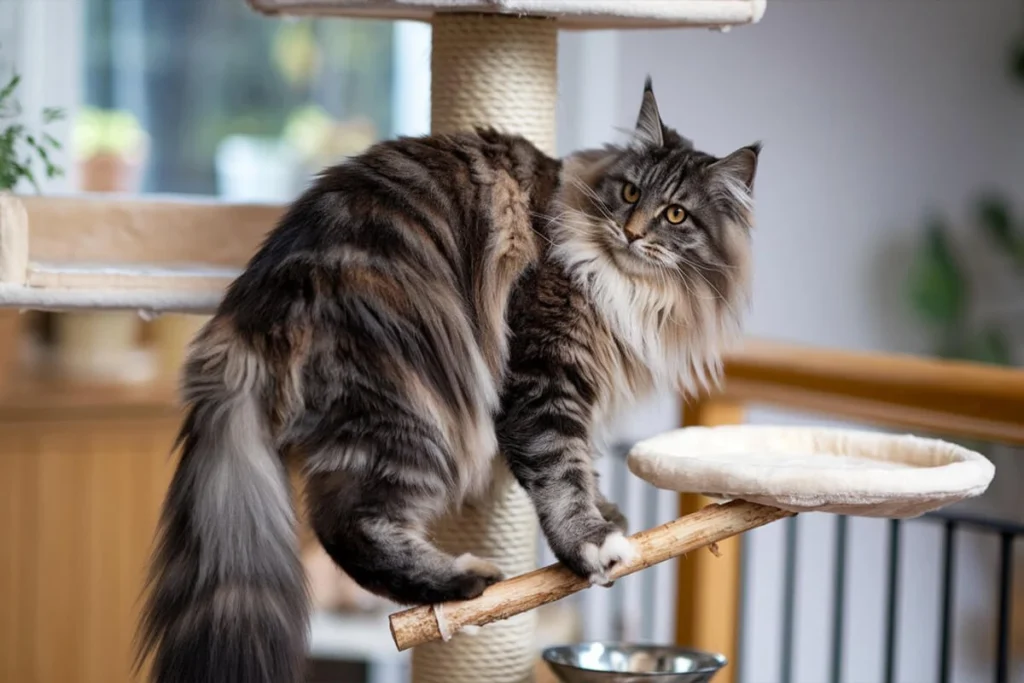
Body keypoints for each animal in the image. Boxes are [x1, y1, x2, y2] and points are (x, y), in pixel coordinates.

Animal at [136, 77, 761, 679]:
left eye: (675, 214)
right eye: (631, 193)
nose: (631, 232)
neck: (635, 292)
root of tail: (249, 309)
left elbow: (583, 463)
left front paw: (607, 512)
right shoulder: (544, 369)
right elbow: (560, 467)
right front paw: (591, 545)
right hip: (412, 411)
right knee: (347, 524)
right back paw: (465, 582)